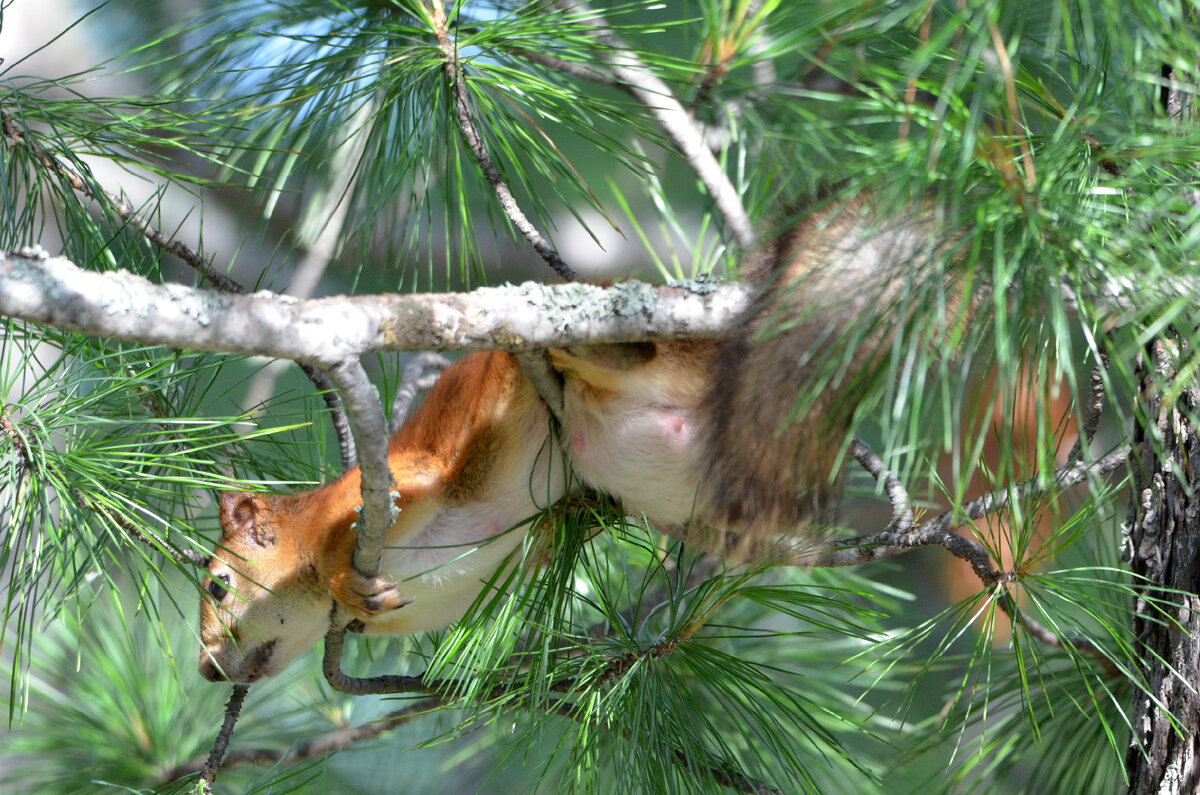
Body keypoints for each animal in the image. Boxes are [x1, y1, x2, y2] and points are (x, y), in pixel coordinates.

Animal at [201, 193, 940, 686]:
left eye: (215, 585)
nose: (208, 672)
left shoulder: (395, 478)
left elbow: (372, 514)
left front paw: (342, 580)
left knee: (630, 350)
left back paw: (557, 346)